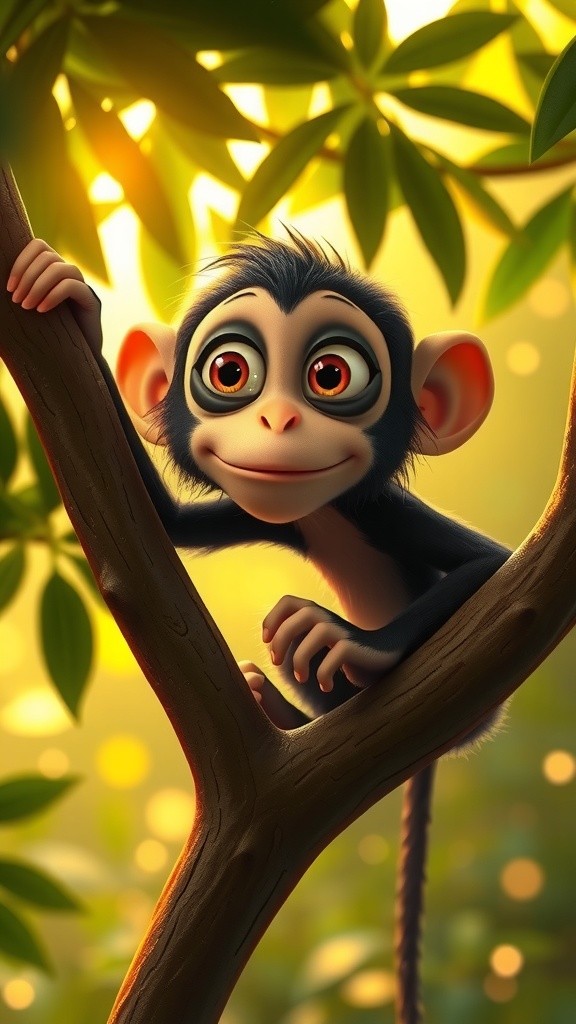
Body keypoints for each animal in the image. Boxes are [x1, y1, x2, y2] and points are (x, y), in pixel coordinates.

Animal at [7, 231, 511, 1021]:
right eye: (229, 371)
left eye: (331, 375)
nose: (279, 422)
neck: (325, 513)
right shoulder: (276, 512)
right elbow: (170, 524)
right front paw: (75, 302)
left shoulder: (374, 508)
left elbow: (489, 562)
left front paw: (356, 644)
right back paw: (279, 703)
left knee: (304, 638)